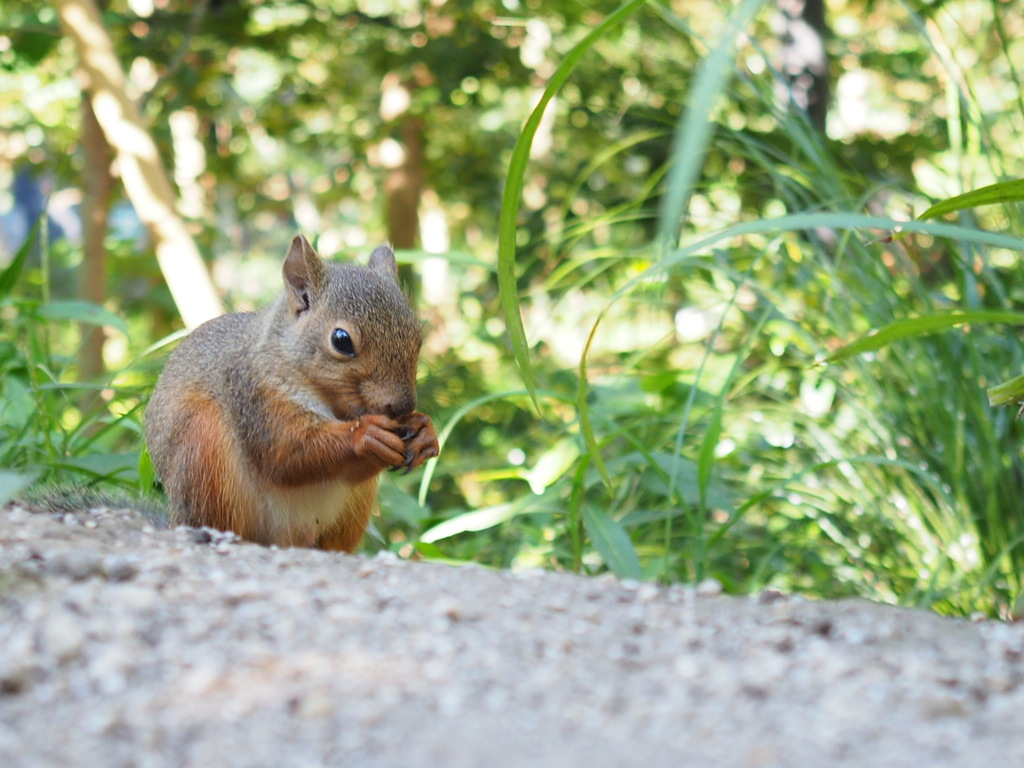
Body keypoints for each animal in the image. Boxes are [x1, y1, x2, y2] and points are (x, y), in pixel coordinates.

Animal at [142, 236, 438, 552]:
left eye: (417, 337)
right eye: (341, 340)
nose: (402, 406)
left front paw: (425, 433)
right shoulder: (255, 395)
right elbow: (287, 453)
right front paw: (365, 435)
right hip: (203, 458)